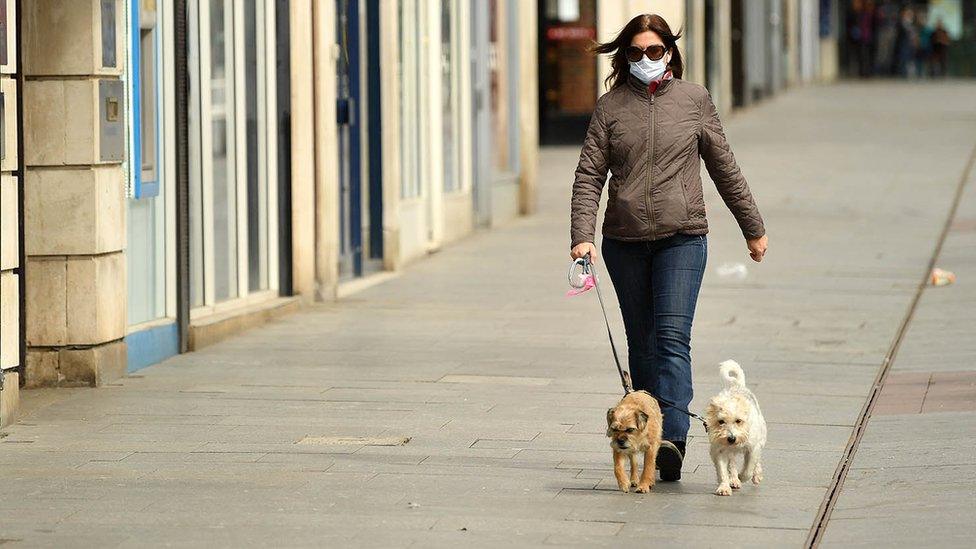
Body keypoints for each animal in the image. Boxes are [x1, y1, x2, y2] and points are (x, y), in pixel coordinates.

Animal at [704, 360, 768, 496]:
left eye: (738, 421)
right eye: (721, 421)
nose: (731, 438)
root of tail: (737, 386)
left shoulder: (753, 448)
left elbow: (748, 469)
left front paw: (742, 476)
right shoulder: (719, 449)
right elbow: (722, 470)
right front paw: (724, 486)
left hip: (761, 438)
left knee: (757, 461)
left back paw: (755, 475)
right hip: (730, 452)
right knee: (732, 463)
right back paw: (733, 479)